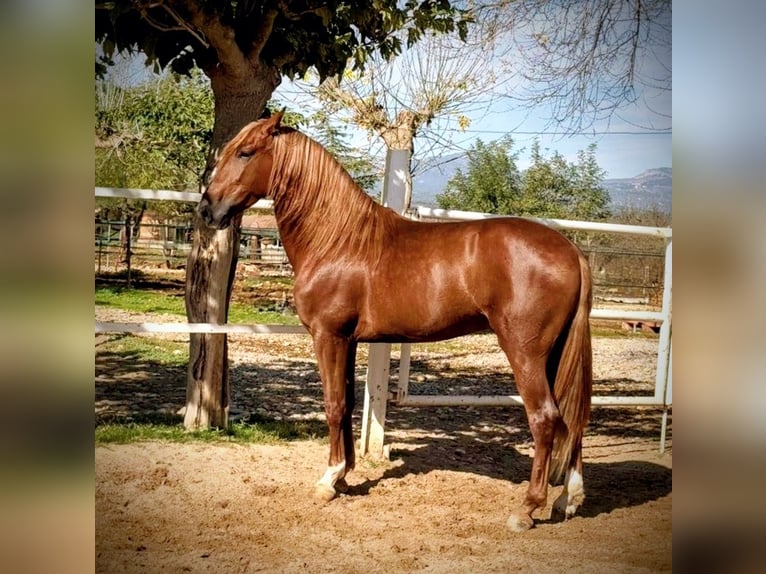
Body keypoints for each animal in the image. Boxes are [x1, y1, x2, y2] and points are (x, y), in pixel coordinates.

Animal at [197, 112, 593, 532]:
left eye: (245, 152)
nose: (207, 210)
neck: (337, 240)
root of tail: (571, 250)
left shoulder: (328, 337)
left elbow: (334, 404)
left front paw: (328, 479)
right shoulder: (349, 341)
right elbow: (348, 404)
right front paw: (345, 475)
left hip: (525, 353)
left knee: (545, 418)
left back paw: (527, 508)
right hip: (554, 354)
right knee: (573, 416)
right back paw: (568, 498)